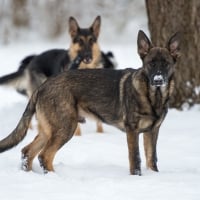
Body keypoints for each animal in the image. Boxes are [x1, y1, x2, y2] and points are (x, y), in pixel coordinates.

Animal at [0, 29, 180, 175]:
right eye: (151, 64)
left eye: (166, 64)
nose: (158, 80)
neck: (153, 97)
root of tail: (43, 85)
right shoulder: (132, 131)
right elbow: (135, 159)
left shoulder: (152, 132)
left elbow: (152, 159)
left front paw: (154, 177)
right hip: (65, 127)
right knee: (44, 156)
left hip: (49, 130)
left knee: (27, 151)